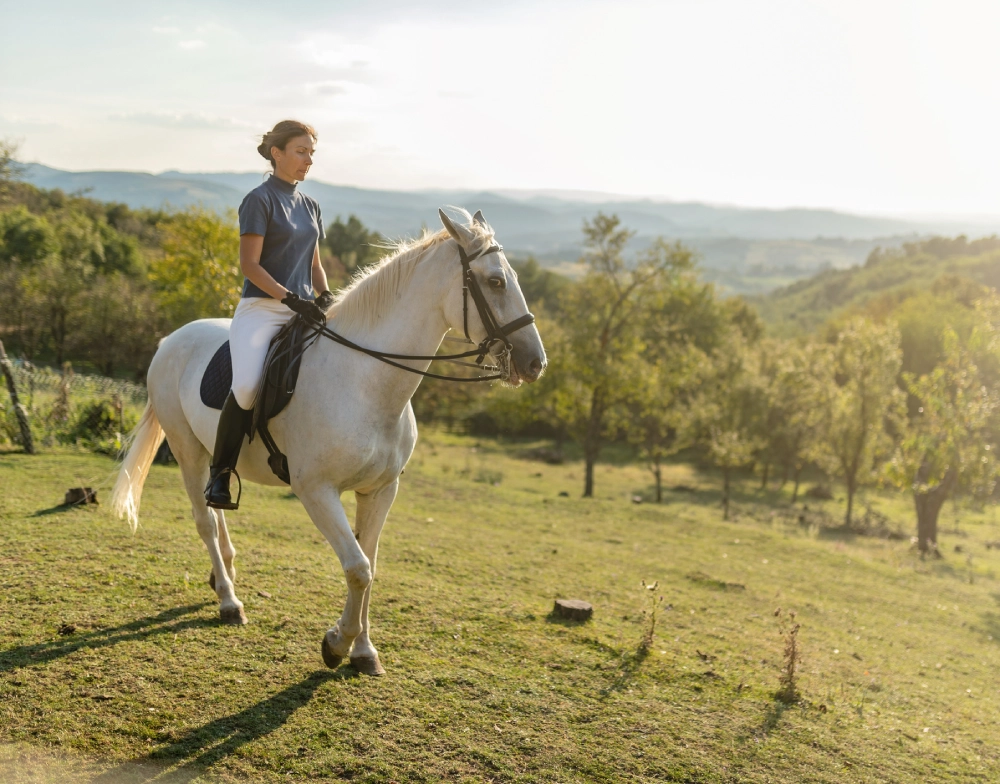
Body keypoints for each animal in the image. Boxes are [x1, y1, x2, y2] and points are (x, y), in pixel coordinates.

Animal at [110, 208, 546, 676]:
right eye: (496, 282)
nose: (535, 363)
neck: (366, 381)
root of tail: (171, 340)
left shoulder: (381, 490)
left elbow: (371, 566)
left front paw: (364, 650)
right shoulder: (316, 490)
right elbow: (357, 567)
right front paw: (338, 643)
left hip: (212, 453)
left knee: (216, 504)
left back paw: (221, 575)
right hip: (187, 449)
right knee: (204, 520)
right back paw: (229, 600)